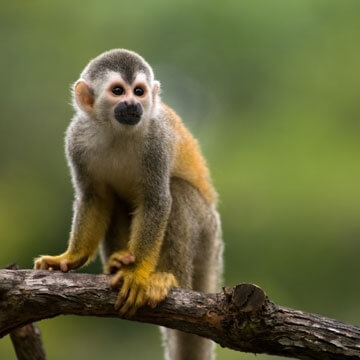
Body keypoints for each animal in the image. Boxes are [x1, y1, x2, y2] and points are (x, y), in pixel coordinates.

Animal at [35, 48, 224, 360]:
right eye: (117, 91)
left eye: (139, 91)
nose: (133, 104)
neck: (116, 131)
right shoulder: (75, 139)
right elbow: (94, 197)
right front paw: (70, 257)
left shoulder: (157, 140)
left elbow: (157, 200)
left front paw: (137, 275)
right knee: (114, 199)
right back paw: (117, 262)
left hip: (207, 233)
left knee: (176, 192)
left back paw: (168, 279)